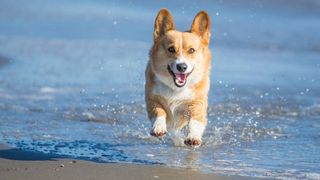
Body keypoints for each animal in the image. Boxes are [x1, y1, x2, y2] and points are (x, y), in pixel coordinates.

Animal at [144, 8, 210, 147]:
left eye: (191, 50)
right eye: (171, 49)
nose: (182, 67)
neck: (176, 89)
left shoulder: (198, 103)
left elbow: (195, 122)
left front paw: (193, 137)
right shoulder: (152, 99)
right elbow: (159, 112)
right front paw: (158, 127)